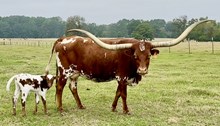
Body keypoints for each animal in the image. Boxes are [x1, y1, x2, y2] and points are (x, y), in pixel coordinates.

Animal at [45, 19, 211, 114]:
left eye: (148, 56)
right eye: (136, 56)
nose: (142, 70)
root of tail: (63, 39)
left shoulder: (122, 78)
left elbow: (118, 93)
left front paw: (113, 108)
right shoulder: (122, 76)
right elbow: (123, 94)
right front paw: (125, 110)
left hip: (75, 73)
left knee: (73, 87)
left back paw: (80, 106)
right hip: (64, 71)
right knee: (60, 87)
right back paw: (60, 108)